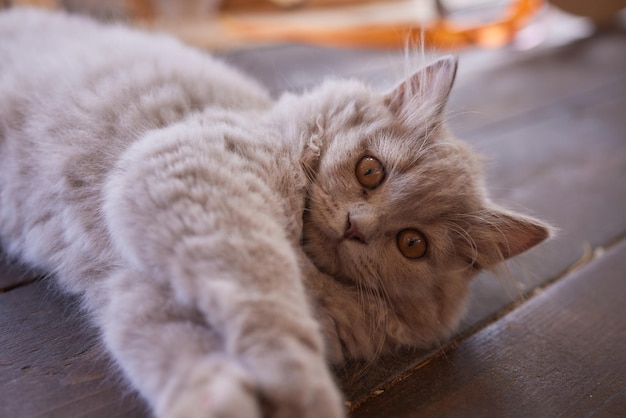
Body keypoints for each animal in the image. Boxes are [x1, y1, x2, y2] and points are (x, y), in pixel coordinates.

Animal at [0, 7, 544, 418]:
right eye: (371, 171)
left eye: (412, 244)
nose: (356, 227)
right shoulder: (200, 178)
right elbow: (267, 299)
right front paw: (301, 388)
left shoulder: (137, 290)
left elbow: (182, 359)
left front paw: (220, 402)